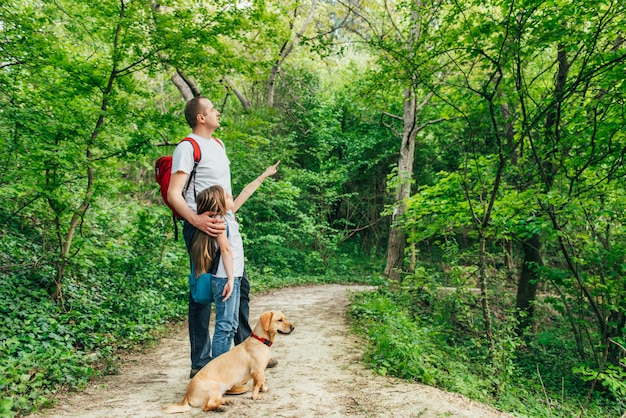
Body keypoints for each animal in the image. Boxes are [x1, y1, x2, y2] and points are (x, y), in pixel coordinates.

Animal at [163, 308, 294, 414]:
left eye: (285, 318)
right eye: (279, 320)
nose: (293, 327)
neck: (260, 340)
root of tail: (186, 395)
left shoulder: (261, 371)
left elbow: (262, 382)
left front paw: (263, 389)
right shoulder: (257, 371)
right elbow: (256, 385)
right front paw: (256, 396)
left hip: (218, 392)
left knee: (215, 402)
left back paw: (227, 401)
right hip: (214, 388)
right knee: (207, 406)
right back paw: (221, 408)